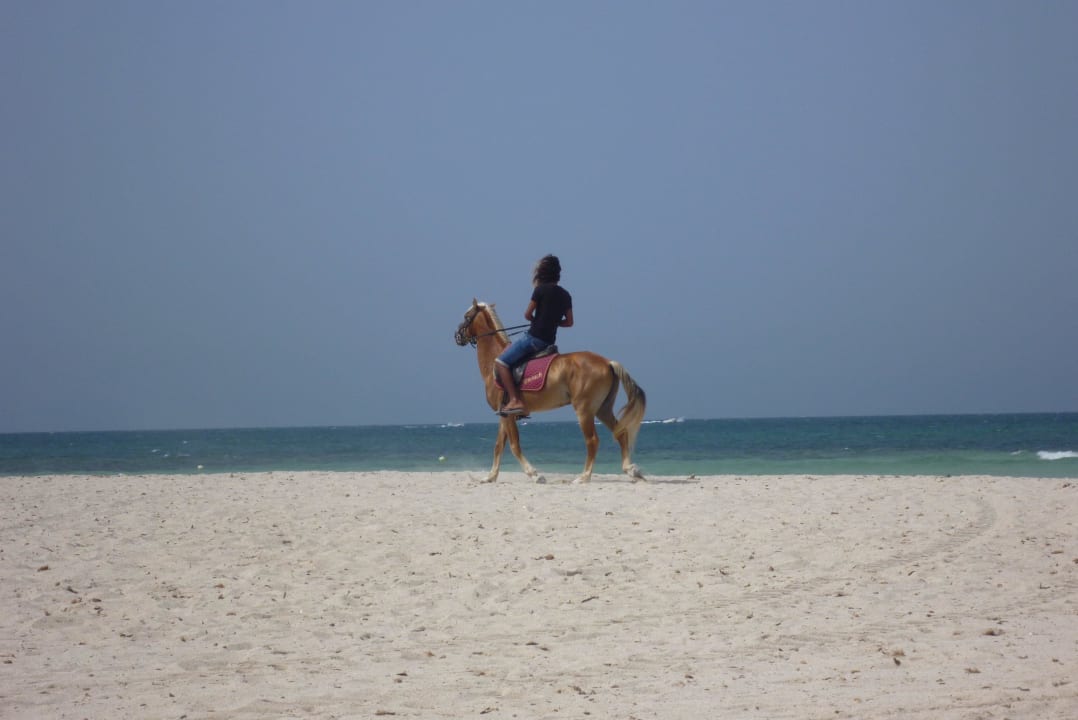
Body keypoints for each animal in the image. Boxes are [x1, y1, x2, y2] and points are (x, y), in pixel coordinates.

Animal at [454, 299, 647, 484]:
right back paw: (631, 470)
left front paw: (534, 474)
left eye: (466, 316)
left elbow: (514, 446)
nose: (457, 336)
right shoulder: (504, 414)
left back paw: (584, 477)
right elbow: (498, 446)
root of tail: (607, 362)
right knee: (621, 433)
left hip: (584, 410)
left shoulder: (508, 415)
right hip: (602, 409)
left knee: (592, 440)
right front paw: (490, 477)